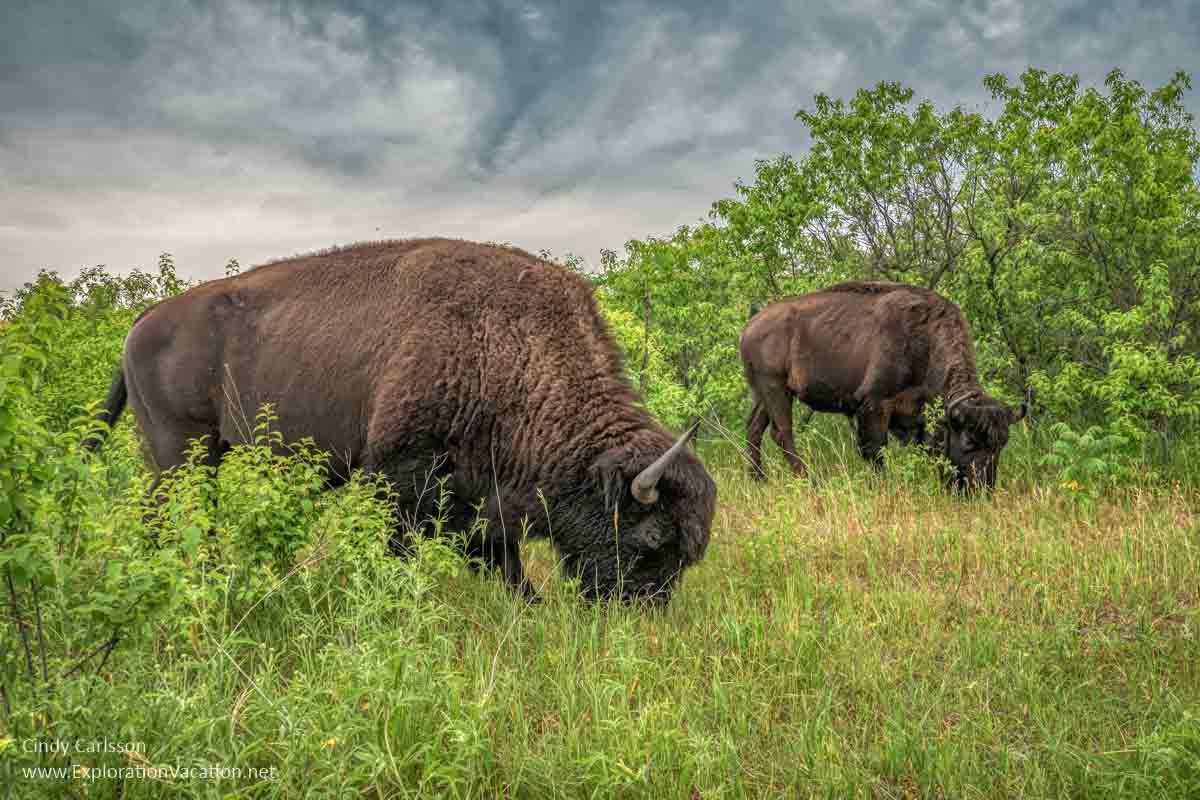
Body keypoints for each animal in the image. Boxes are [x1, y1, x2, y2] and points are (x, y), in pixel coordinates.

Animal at [91, 237, 720, 606]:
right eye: (652, 538)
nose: (640, 613)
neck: (510, 347)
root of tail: (140, 323)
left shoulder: (479, 497)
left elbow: (503, 559)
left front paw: (531, 607)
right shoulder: (399, 476)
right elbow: (405, 548)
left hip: (202, 454)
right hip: (180, 450)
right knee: (168, 513)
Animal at [739, 281, 1032, 494]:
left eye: (1001, 445)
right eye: (969, 442)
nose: (982, 490)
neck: (926, 343)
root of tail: (750, 326)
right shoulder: (875, 404)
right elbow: (875, 449)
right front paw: (882, 485)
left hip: (763, 393)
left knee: (754, 428)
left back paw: (758, 480)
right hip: (776, 388)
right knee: (782, 433)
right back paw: (809, 481)